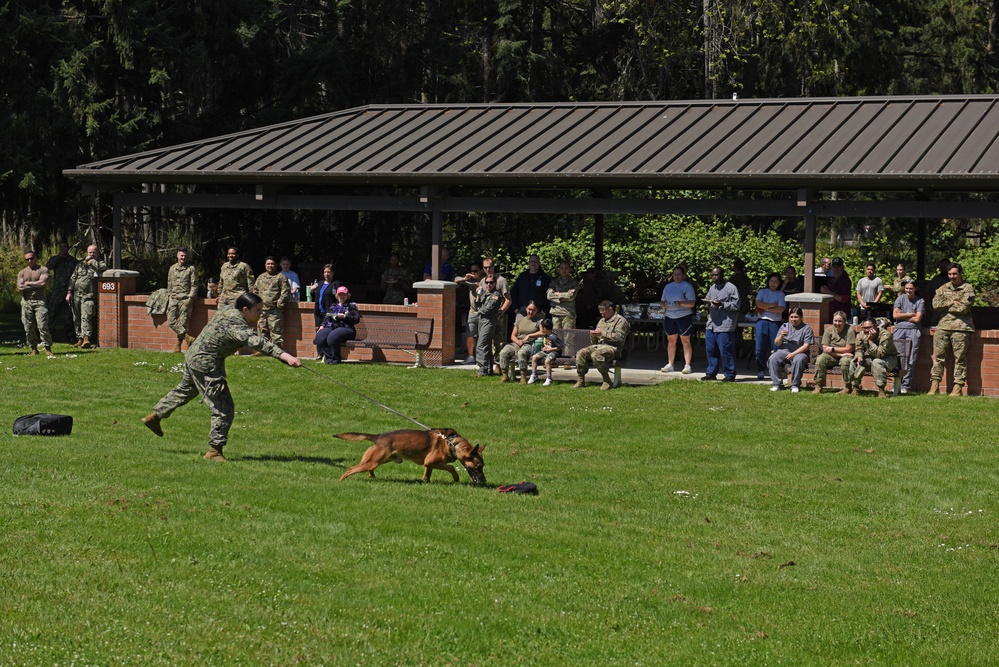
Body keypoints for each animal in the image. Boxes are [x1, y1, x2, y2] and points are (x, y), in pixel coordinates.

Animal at [336, 430, 488, 482]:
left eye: (482, 466)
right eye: (478, 466)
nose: (484, 481)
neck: (452, 442)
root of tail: (378, 437)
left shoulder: (429, 463)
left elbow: (427, 473)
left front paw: (426, 481)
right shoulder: (432, 461)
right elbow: (451, 467)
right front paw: (456, 478)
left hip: (382, 459)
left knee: (369, 468)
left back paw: (371, 476)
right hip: (374, 460)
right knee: (351, 469)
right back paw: (341, 480)